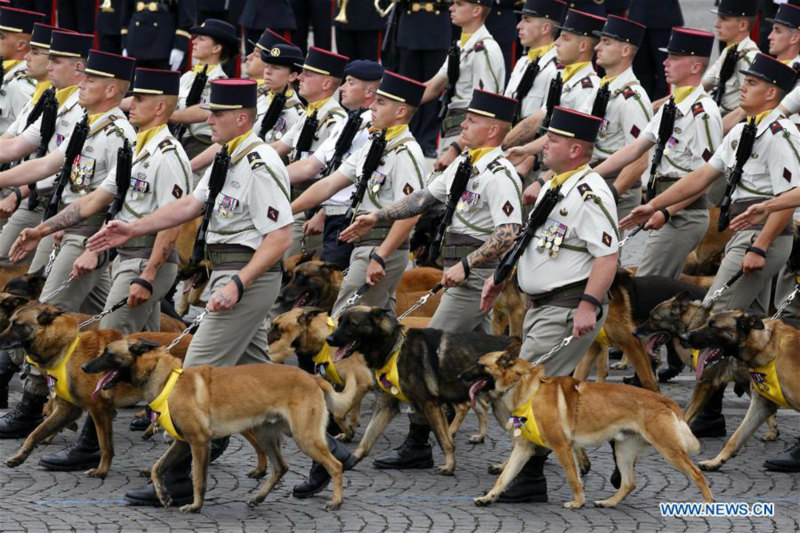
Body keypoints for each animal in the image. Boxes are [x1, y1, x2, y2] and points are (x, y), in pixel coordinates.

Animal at [0, 304, 191, 478]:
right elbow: (35, 432)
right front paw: (19, 457)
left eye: (16, 325)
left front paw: (101, 470)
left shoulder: (98, 408)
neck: (67, 347)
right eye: (10, 322)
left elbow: (105, 445)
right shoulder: (68, 409)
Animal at [82, 336, 354, 512]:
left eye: (107, 352)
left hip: (303, 436)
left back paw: (336, 501)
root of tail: (312, 378)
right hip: (268, 434)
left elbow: (198, 479)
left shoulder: (198, 442)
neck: (168, 380)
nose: (84, 366)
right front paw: (164, 496)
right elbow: (157, 468)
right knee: (281, 467)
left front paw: (194, 506)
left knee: (335, 465)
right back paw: (258, 497)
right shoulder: (182, 443)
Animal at [328, 306, 516, 472]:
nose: (329, 339)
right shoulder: (387, 406)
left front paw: (449, 466)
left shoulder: (430, 404)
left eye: (351, 324)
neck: (394, 346)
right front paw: (350, 461)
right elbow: (366, 441)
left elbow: (445, 442)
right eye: (339, 322)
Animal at [468, 340, 712, 508]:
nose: (460, 376)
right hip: (624, 451)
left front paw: (577, 502)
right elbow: (504, 477)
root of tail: (664, 400)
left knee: (697, 474)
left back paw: (709, 504)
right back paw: (608, 502)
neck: (526, 389)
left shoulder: (563, 447)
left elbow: (572, 478)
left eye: (479, 366)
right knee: (629, 483)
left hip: (670, 451)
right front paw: (489, 497)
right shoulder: (523, 449)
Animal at [680, 312, 800, 470]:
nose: (682, 337)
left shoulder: (706, 383)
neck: (766, 346)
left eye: (713, 326)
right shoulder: (761, 405)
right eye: (706, 322)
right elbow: (736, 437)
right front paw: (715, 461)